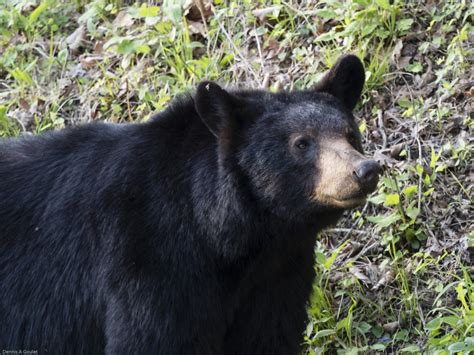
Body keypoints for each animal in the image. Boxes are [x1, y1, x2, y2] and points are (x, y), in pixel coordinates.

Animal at [0, 54, 382, 354]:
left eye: (350, 134)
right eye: (302, 143)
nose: (365, 169)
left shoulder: (275, 278)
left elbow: (267, 336)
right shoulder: (148, 264)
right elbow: (153, 340)